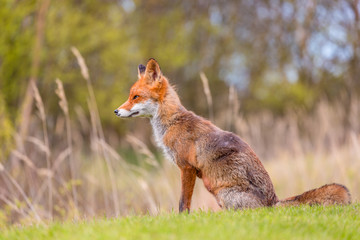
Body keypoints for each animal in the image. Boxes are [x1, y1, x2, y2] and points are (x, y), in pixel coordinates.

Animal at [114, 59, 350, 213]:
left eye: (135, 97)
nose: (116, 111)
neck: (173, 122)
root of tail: (273, 201)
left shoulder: (187, 168)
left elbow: (183, 203)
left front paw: (182, 221)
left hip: (223, 194)